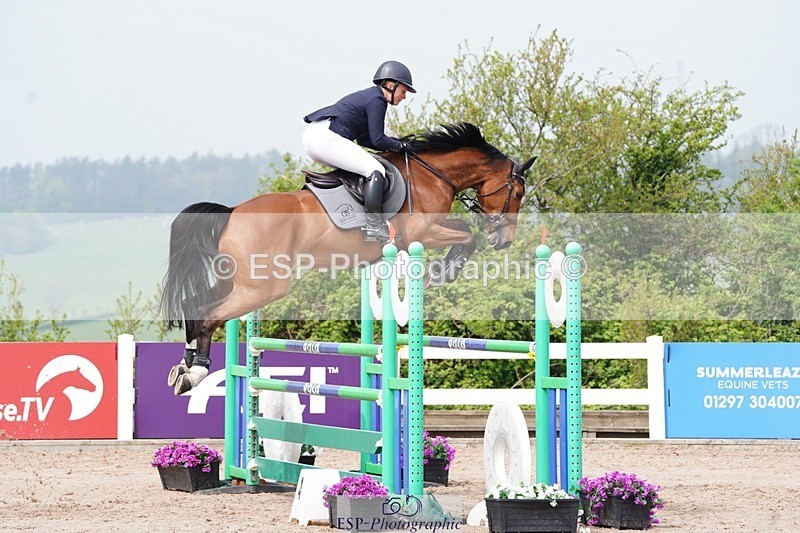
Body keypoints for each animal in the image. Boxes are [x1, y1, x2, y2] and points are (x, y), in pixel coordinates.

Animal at [160, 122, 536, 394]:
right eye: (517, 192)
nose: (504, 240)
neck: (432, 174)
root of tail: (232, 212)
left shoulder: (430, 230)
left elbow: (464, 230)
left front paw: (442, 272)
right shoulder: (423, 233)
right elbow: (469, 236)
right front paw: (442, 273)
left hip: (239, 282)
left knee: (195, 305)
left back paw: (184, 368)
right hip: (263, 287)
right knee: (209, 315)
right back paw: (196, 372)